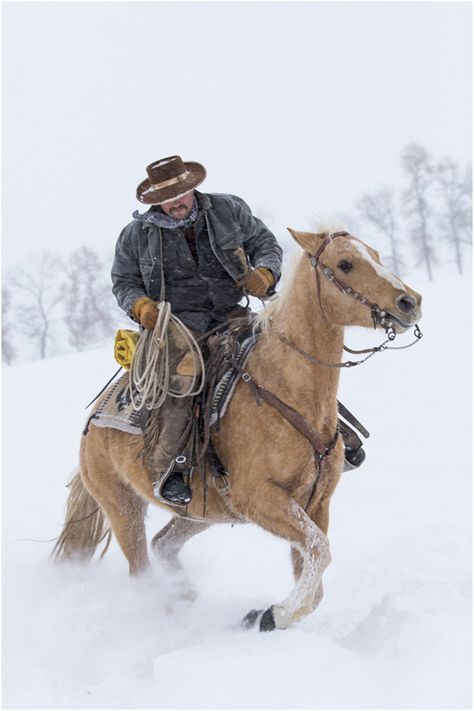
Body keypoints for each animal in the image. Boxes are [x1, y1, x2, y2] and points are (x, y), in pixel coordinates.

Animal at [52, 225, 422, 632]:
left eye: (376, 255)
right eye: (345, 263)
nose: (409, 301)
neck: (285, 390)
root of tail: (92, 421)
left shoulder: (316, 502)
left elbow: (314, 574)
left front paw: (271, 616)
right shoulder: (259, 498)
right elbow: (319, 553)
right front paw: (272, 614)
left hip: (199, 513)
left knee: (164, 544)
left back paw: (185, 596)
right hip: (122, 506)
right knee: (141, 570)